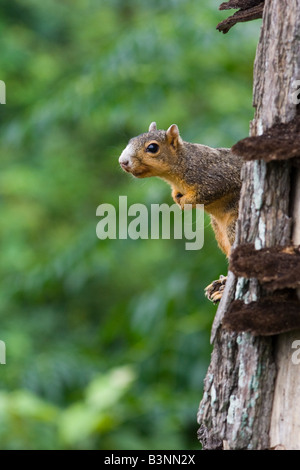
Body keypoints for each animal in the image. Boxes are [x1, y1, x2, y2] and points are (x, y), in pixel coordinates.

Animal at [118, 123, 243, 302]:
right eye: (130, 141)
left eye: (152, 147)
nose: (123, 162)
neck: (183, 162)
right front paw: (176, 197)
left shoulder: (215, 177)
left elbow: (209, 191)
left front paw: (185, 202)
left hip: (233, 224)